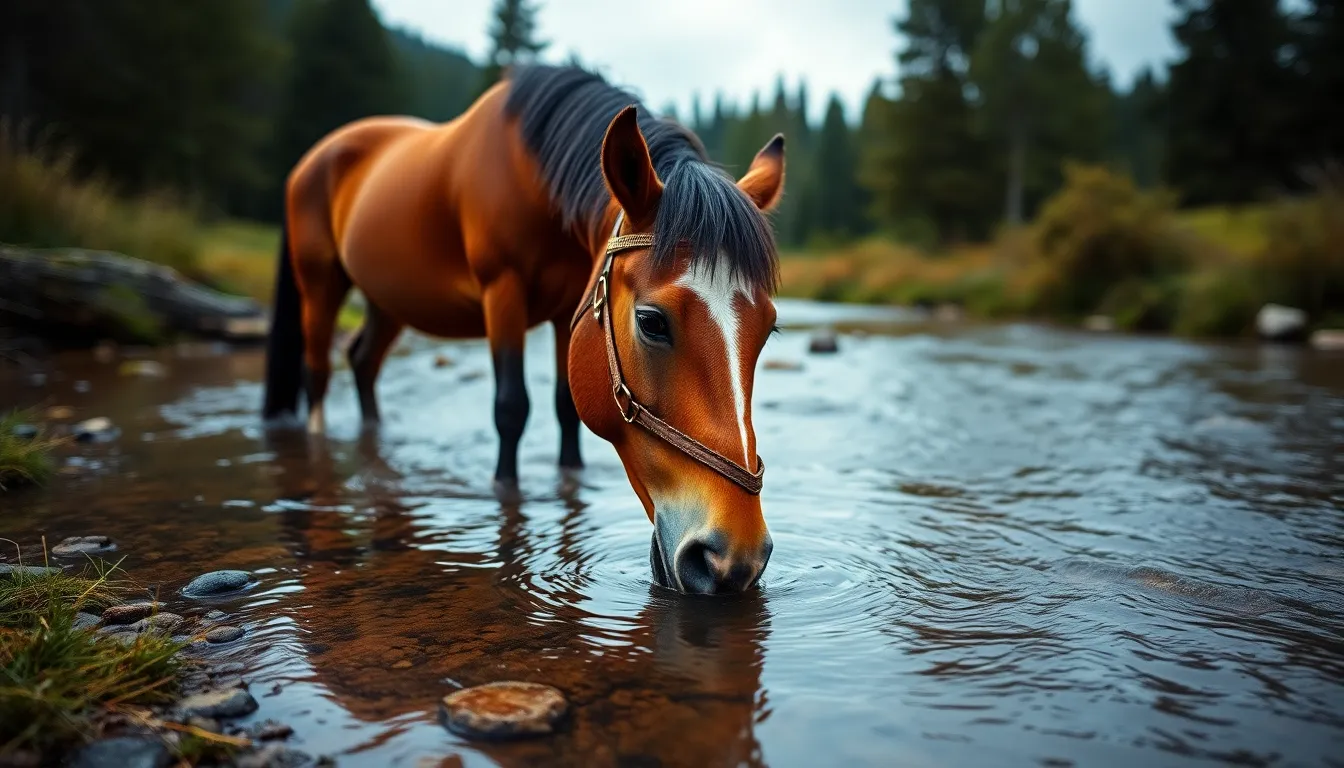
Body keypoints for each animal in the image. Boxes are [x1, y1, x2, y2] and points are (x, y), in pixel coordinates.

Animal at [261, 64, 786, 595]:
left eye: (768, 330)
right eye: (651, 322)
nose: (732, 557)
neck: (533, 177)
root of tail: (314, 157)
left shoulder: (568, 310)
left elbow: (565, 409)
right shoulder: (503, 291)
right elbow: (511, 407)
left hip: (388, 301)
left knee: (362, 362)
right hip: (320, 285)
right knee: (318, 373)